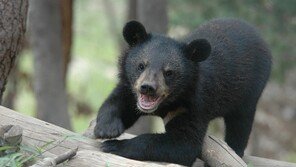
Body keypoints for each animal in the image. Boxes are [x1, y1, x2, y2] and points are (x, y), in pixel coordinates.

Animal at [93, 18, 272, 166]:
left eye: (169, 72)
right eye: (141, 65)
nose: (148, 87)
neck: (170, 101)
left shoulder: (194, 104)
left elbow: (184, 144)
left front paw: (114, 145)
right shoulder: (132, 89)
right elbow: (119, 101)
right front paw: (107, 129)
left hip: (250, 88)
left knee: (241, 122)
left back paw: (235, 151)